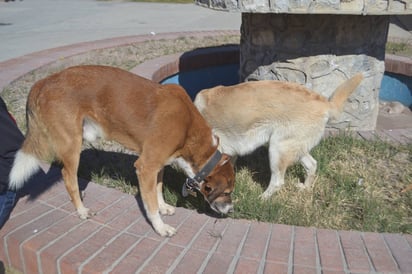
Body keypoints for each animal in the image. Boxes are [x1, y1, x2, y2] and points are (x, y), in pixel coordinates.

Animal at [8, 65, 235, 237]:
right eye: (227, 193)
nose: (231, 210)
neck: (188, 127)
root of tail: (43, 82)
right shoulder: (146, 167)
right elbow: (150, 205)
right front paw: (160, 227)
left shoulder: (159, 164)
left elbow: (158, 189)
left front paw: (163, 206)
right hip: (72, 143)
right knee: (68, 177)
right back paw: (81, 210)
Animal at [194, 73, 364, 199]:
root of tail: (325, 103)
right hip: (293, 147)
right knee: (312, 165)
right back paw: (304, 188)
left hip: (277, 149)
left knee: (278, 182)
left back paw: (262, 199)